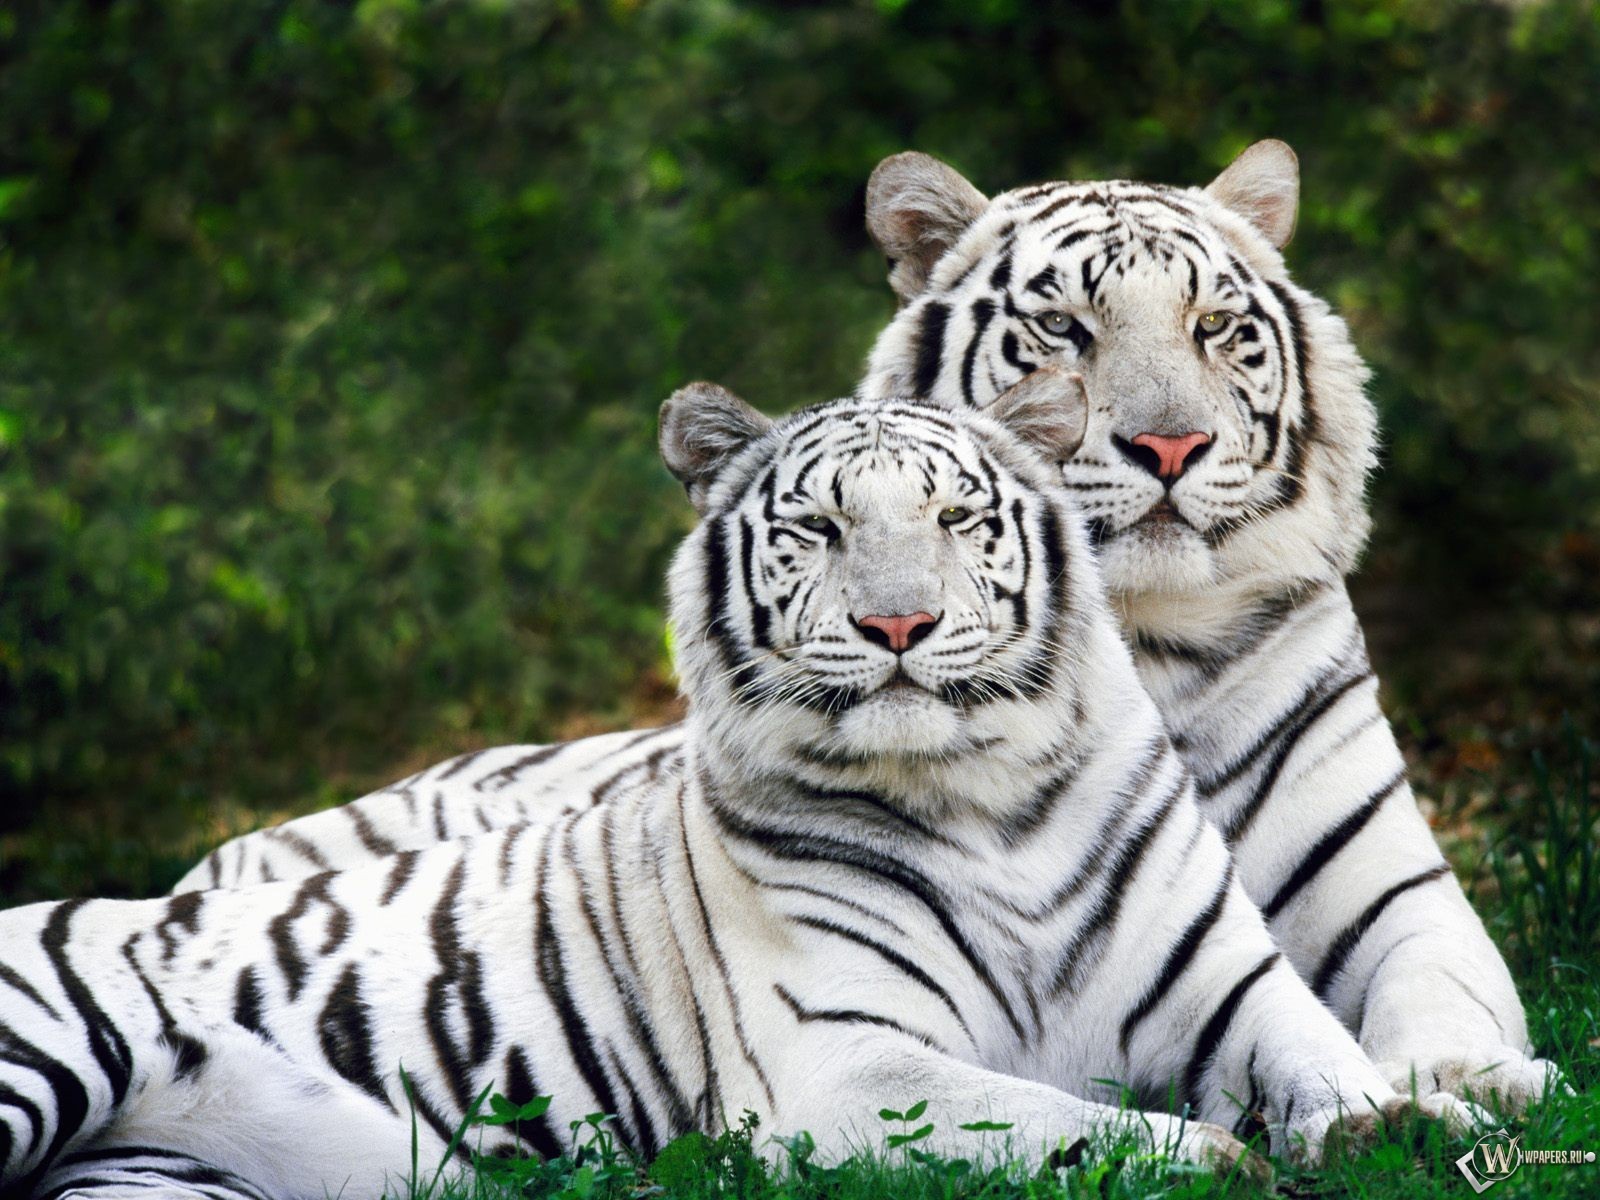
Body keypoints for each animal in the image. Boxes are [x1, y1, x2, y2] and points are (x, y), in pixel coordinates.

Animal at [0, 383, 1485, 1200]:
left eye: (956, 519)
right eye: (818, 529)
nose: (897, 626)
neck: (991, 800)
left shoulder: (1231, 990)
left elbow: (1328, 1061)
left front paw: (1419, 1125)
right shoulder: (843, 1066)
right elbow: (1072, 1126)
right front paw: (1223, 1161)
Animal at [175, 141, 1557, 1109]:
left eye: (1216, 327)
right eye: (1063, 328)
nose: (1168, 446)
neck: (1147, 642)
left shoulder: (1395, 892)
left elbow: (1443, 991)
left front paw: (1473, 1086)